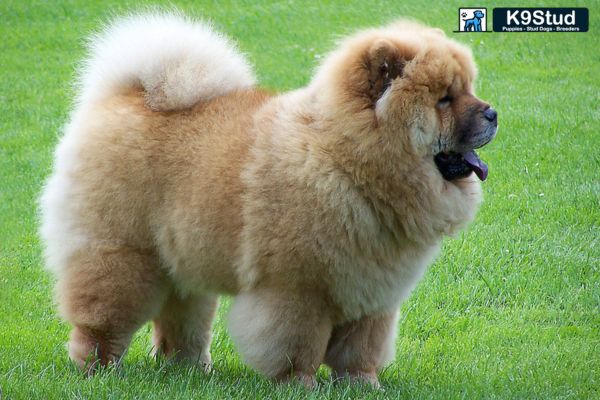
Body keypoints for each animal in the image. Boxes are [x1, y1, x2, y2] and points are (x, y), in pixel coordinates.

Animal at [38, 11, 496, 388]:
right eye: (444, 99)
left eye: (469, 89)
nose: (492, 112)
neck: (344, 158)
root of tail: (127, 95)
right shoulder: (297, 289)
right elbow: (298, 344)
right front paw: (300, 385)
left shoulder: (373, 294)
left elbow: (361, 349)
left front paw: (364, 386)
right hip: (121, 254)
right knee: (103, 315)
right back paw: (97, 368)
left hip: (183, 255)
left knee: (182, 320)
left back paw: (188, 369)